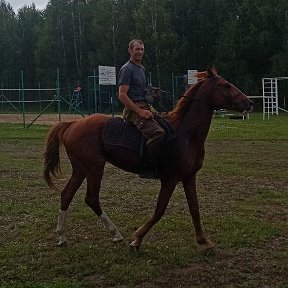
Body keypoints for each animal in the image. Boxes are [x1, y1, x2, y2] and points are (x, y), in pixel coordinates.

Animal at [44, 67, 253, 250]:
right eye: (226, 85)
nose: (249, 103)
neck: (185, 135)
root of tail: (73, 124)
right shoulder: (170, 179)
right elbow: (159, 210)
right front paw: (137, 239)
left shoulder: (188, 177)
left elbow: (194, 208)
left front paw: (203, 241)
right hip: (94, 168)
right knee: (91, 199)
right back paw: (115, 233)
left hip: (81, 169)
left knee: (66, 195)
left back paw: (62, 236)